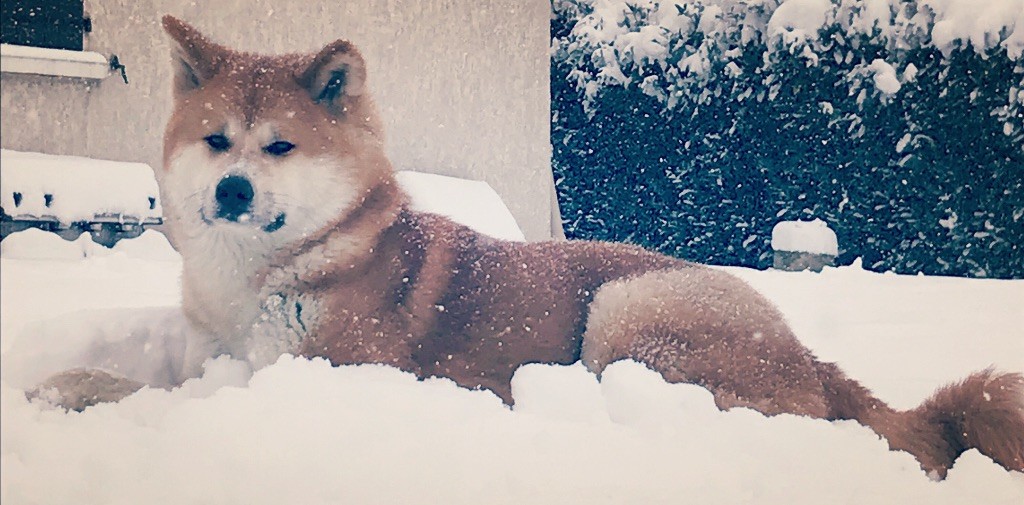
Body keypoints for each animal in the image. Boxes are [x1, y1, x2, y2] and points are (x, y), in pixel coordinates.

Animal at [31, 15, 1024, 479]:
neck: (280, 268)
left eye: (280, 147)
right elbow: (155, 374)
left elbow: (143, 391)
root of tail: (812, 359)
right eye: (216, 142)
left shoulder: (310, 369)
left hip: (629, 309)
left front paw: (65, 387)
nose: (232, 191)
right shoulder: (216, 350)